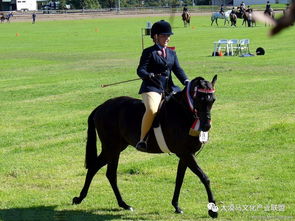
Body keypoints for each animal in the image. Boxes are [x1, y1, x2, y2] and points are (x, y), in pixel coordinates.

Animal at [72, 75, 219, 218]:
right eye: (198, 99)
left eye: (213, 100)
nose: (206, 126)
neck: (183, 113)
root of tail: (101, 107)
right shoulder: (185, 153)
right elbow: (204, 178)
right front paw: (213, 210)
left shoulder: (185, 155)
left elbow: (179, 179)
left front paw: (176, 206)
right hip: (110, 148)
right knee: (95, 168)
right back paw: (79, 198)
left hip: (116, 149)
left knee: (110, 174)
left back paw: (123, 204)